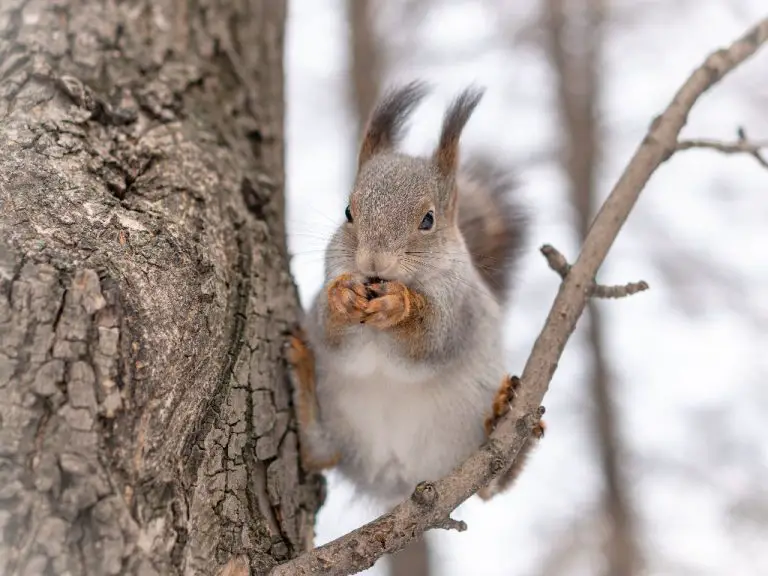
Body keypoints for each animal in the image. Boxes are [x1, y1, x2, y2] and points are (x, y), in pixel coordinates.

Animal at [288, 81, 544, 504]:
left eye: (428, 220)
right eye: (348, 212)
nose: (374, 262)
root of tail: (401, 479)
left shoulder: (458, 310)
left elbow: (428, 340)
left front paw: (400, 306)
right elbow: (333, 334)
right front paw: (342, 298)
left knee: (491, 483)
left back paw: (503, 412)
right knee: (318, 453)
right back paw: (302, 372)